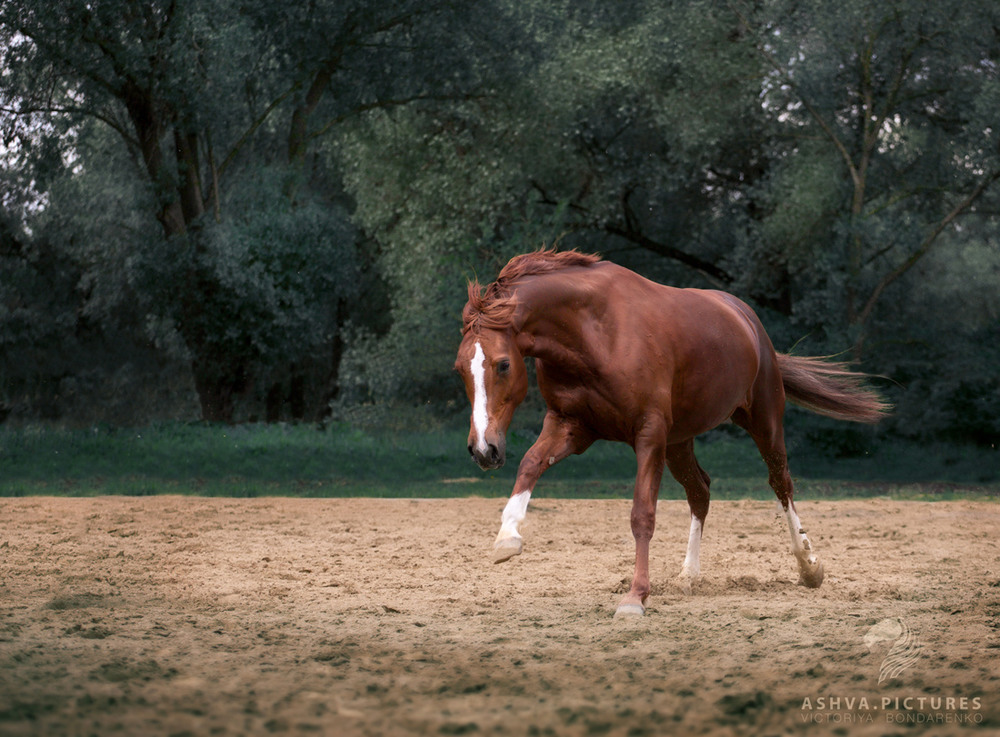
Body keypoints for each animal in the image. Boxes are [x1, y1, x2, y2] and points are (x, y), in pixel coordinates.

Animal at [458, 252, 888, 616]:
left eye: (502, 364)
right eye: (460, 368)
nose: (483, 450)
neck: (594, 332)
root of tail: (749, 321)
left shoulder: (649, 434)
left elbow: (642, 514)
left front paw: (635, 597)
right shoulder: (571, 425)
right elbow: (531, 464)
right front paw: (506, 539)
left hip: (763, 420)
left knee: (781, 483)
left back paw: (809, 567)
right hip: (680, 440)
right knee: (701, 490)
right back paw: (688, 575)